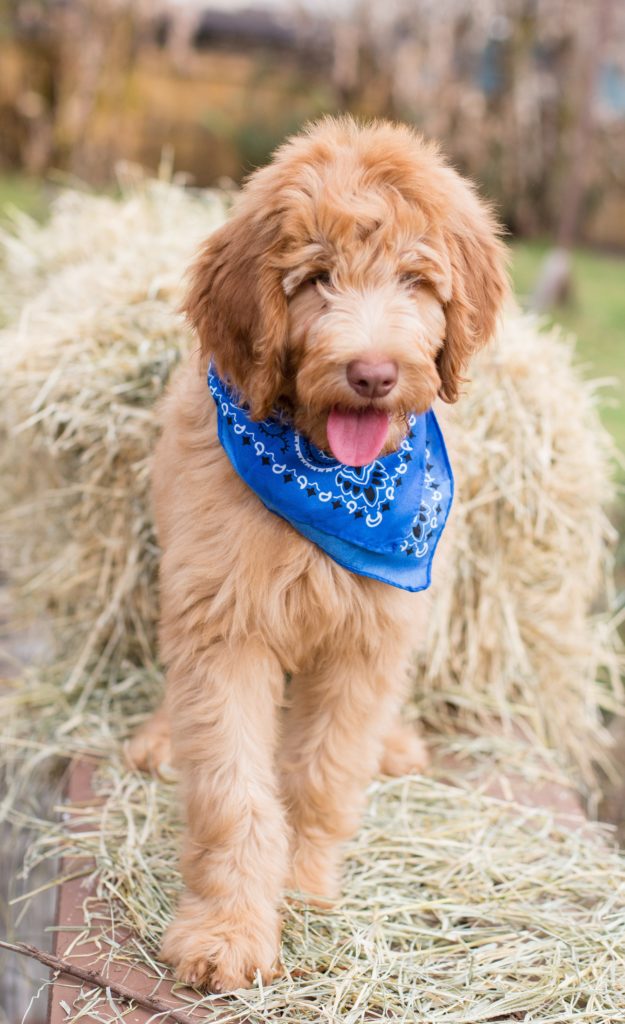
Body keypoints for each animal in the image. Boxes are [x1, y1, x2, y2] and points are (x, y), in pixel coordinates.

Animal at [126, 117, 506, 991]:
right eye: (314, 278)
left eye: (415, 279)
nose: (371, 373)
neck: (331, 482)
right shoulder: (222, 627)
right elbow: (232, 791)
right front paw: (227, 930)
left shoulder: (366, 641)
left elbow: (323, 775)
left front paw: (300, 885)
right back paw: (159, 737)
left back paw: (397, 744)